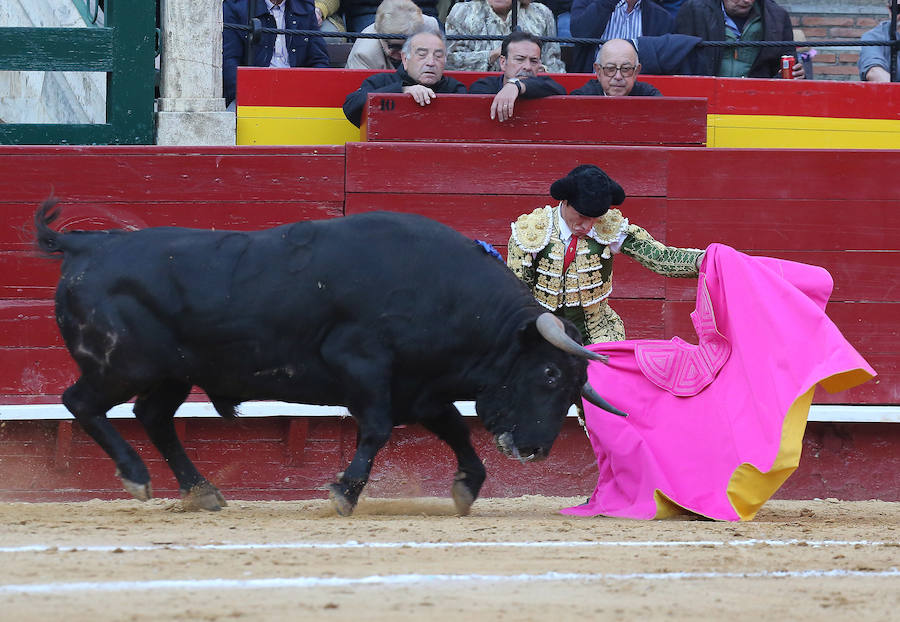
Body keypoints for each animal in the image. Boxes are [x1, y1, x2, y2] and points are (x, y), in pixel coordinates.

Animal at [35, 201, 624, 516]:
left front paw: (467, 487)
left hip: (173, 373)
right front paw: (344, 492)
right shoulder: (363, 367)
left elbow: (456, 429)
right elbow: (377, 429)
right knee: (81, 402)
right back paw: (137, 476)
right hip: (122, 366)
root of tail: (88, 247)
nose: (536, 451)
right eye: (549, 373)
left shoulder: (421, 389)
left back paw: (203, 492)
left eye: (576, 386)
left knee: (153, 416)